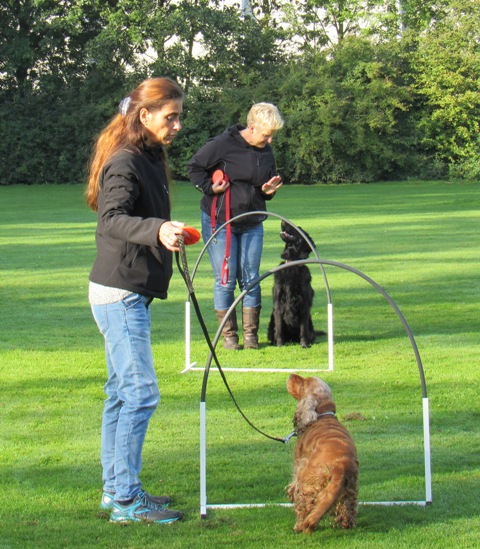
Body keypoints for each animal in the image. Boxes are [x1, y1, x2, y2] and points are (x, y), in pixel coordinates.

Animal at [286, 374, 358, 534]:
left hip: (308, 483)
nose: (291, 375)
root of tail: (340, 465)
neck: (324, 415)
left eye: (304, 382)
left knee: (304, 506)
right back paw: (346, 524)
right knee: (347, 509)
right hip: (349, 488)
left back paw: (299, 526)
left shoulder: (299, 461)